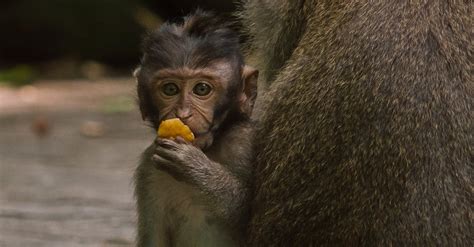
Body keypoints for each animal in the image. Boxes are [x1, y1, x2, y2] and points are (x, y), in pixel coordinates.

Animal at [133, 10, 260, 247]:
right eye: (170, 89)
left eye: (201, 89)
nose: (183, 114)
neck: (210, 147)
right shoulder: (148, 169)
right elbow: (154, 239)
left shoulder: (243, 142)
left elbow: (248, 211)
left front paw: (193, 166)